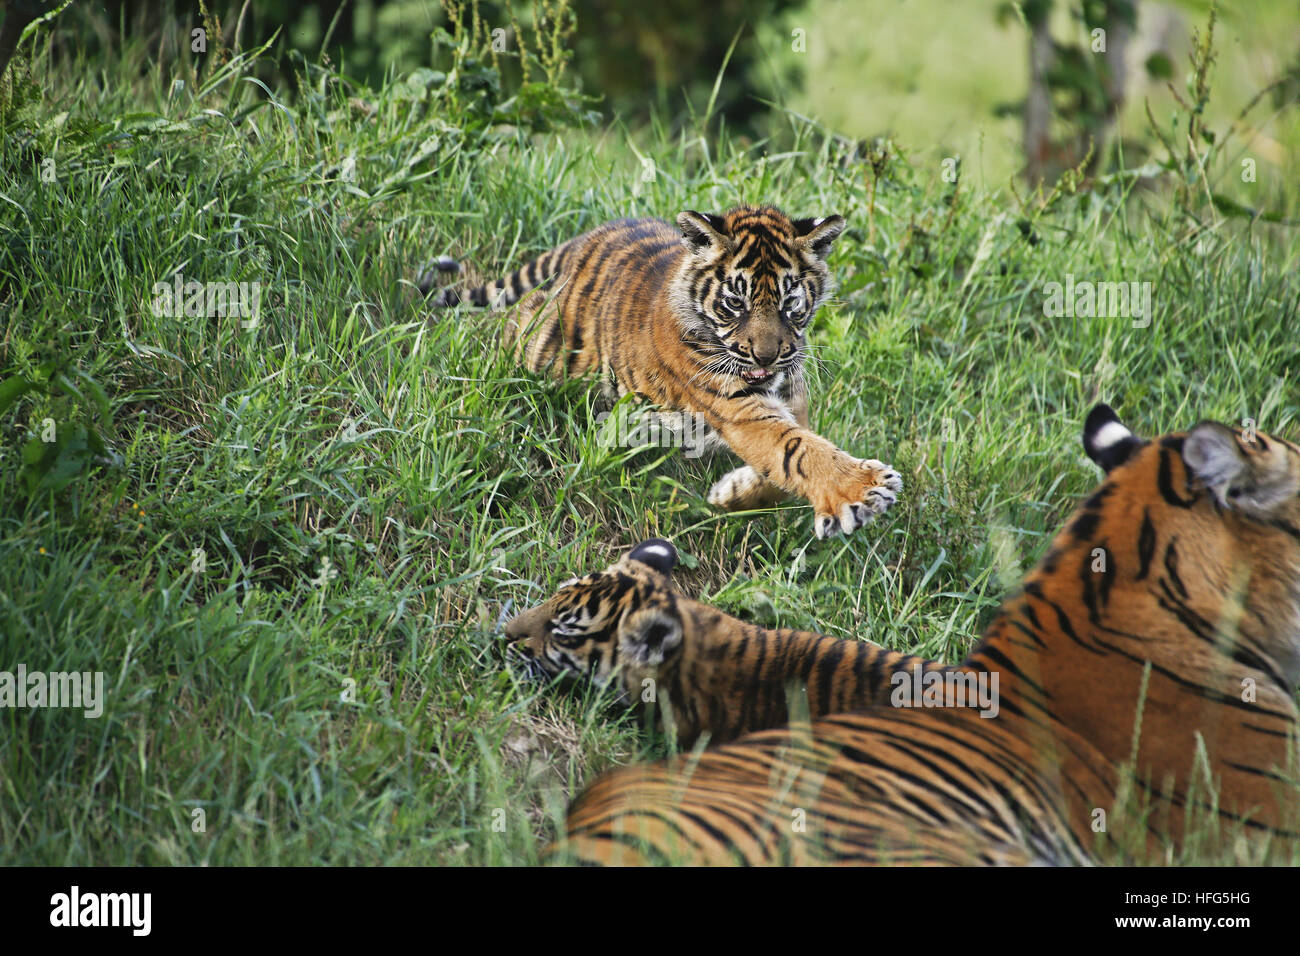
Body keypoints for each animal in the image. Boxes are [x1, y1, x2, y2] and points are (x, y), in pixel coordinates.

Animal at [421, 204, 899, 538]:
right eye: (736, 303)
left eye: (790, 304)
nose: (765, 357)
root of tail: (587, 238)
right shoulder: (738, 407)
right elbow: (799, 450)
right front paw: (864, 489)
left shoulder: (790, 400)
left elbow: (787, 465)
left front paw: (729, 494)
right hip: (540, 342)